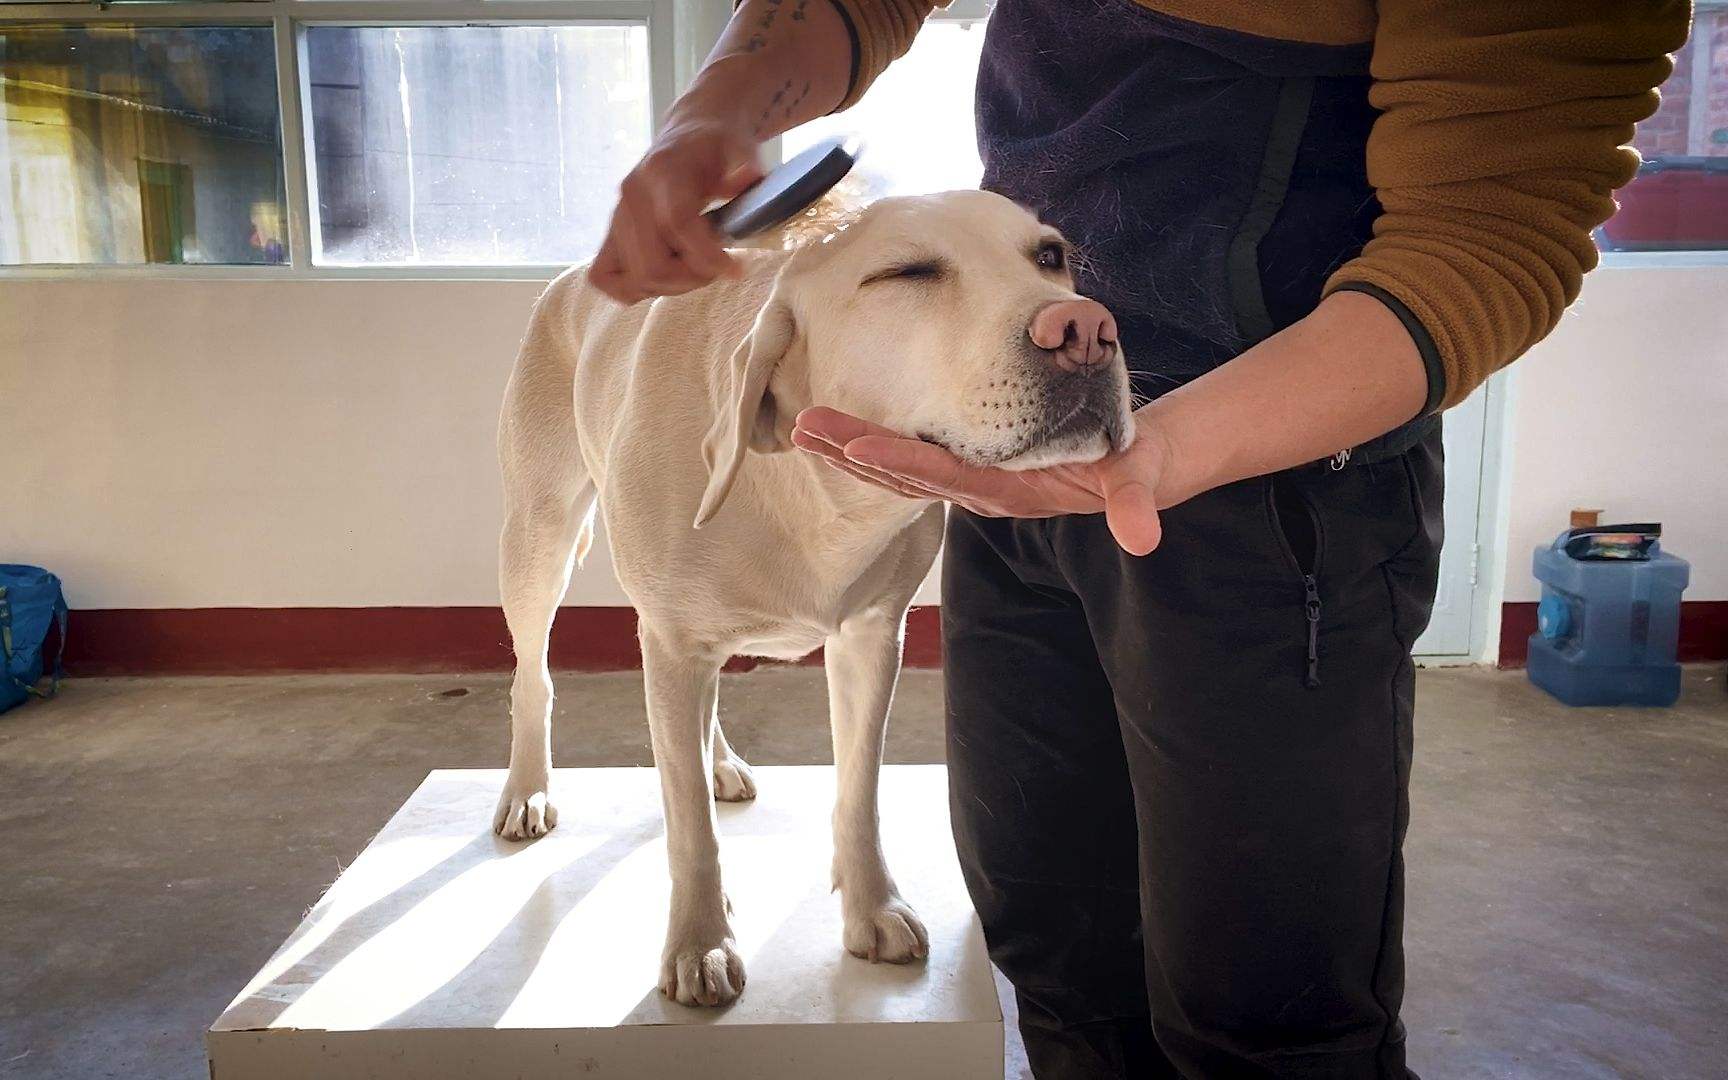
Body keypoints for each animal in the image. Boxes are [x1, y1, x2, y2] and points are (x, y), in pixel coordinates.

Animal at [490, 189, 1133, 1009]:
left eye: (1050, 257)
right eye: (907, 272)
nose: (1086, 331)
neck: (813, 493)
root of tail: (572, 275)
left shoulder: (870, 637)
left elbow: (857, 793)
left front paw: (872, 909)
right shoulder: (672, 640)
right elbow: (690, 828)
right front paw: (699, 940)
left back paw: (719, 763)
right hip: (539, 540)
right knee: (535, 677)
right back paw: (528, 788)